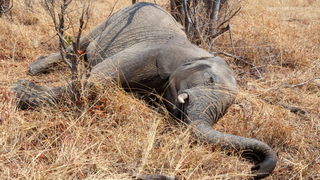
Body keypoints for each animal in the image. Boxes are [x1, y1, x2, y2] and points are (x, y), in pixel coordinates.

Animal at [11, 1, 278, 179]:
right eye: (210, 80)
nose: (255, 168)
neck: (196, 52)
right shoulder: (151, 52)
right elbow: (96, 80)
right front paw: (19, 91)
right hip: (115, 18)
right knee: (81, 43)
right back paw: (35, 69)